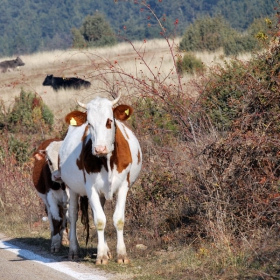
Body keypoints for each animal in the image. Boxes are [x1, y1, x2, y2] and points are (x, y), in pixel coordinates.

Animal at [59, 93, 142, 264]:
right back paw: (74, 250)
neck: (107, 161)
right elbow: (99, 220)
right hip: (72, 188)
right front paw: (101, 256)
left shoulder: (123, 186)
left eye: (109, 121)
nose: (99, 148)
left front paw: (121, 255)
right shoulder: (90, 188)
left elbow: (118, 219)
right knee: (73, 215)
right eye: (89, 123)